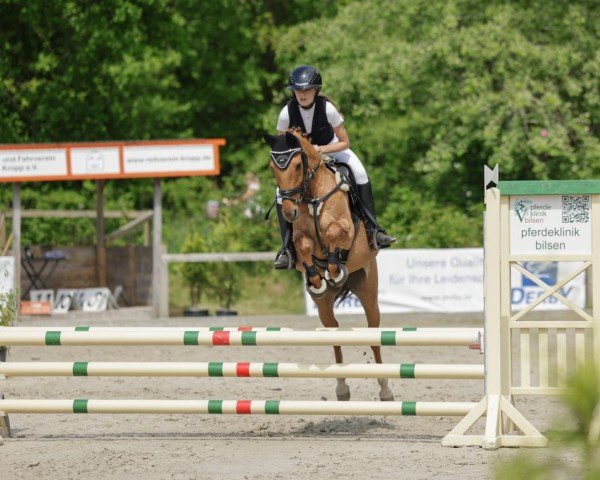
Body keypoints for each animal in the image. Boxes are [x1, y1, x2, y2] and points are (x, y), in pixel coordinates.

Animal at [262, 130, 394, 402]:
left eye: (298, 165)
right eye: (272, 167)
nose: (289, 212)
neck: (311, 195)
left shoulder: (347, 229)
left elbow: (334, 233)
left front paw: (334, 269)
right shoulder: (300, 239)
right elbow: (303, 246)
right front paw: (319, 278)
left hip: (368, 290)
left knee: (373, 332)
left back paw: (385, 389)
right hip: (323, 309)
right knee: (334, 333)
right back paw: (342, 388)